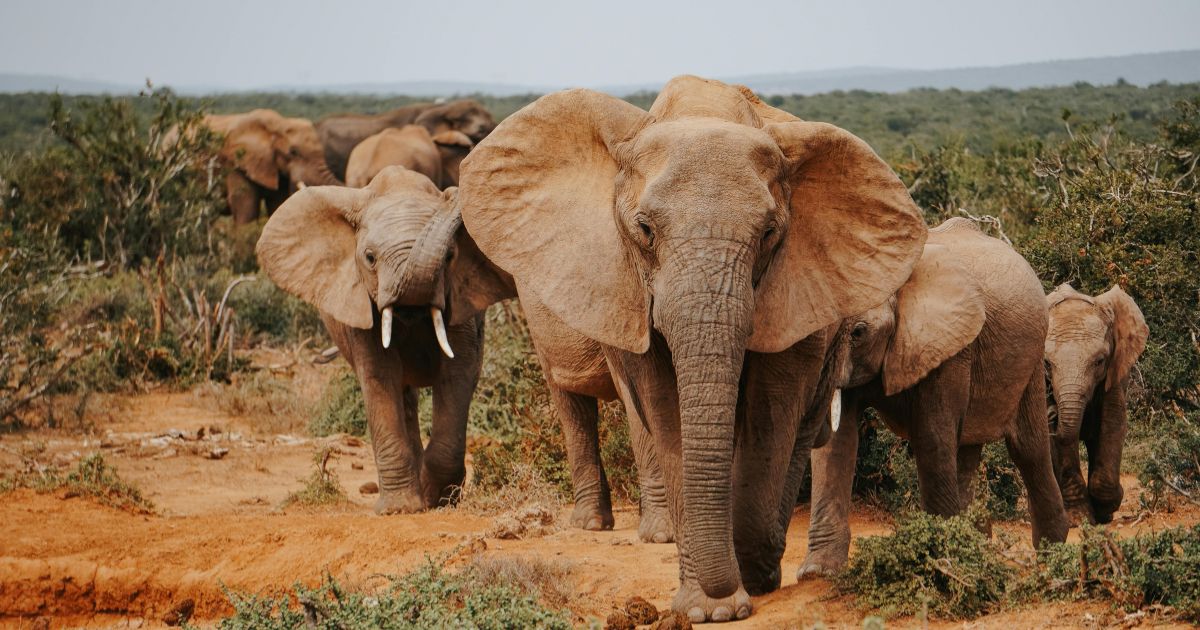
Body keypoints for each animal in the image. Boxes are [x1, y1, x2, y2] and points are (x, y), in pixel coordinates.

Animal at [256, 166, 514, 513]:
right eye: (369, 257)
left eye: (450, 256)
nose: (453, 193)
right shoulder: (360, 304)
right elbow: (379, 376)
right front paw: (400, 509)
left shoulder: (460, 301)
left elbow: (458, 372)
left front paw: (436, 500)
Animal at [457, 75, 927, 622]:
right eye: (644, 230)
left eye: (769, 233)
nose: (732, 590)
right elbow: (664, 410)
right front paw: (708, 608)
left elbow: (773, 406)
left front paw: (744, 583)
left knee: (804, 423)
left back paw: (763, 564)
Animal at [801, 218, 1070, 579]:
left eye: (858, 332)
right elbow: (836, 443)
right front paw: (818, 572)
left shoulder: (949, 346)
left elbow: (931, 436)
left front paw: (939, 564)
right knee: (966, 451)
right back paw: (977, 546)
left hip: (1032, 357)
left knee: (1028, 448)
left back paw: (1052, 552)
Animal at [1044, 283, 1148, 525]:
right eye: (1047, 364)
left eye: (1099, 361)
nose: (1052, 413)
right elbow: (1063, 442)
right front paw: (1079, 518)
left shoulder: (1116, 369)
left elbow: (1113, 422)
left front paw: (1106, 509)